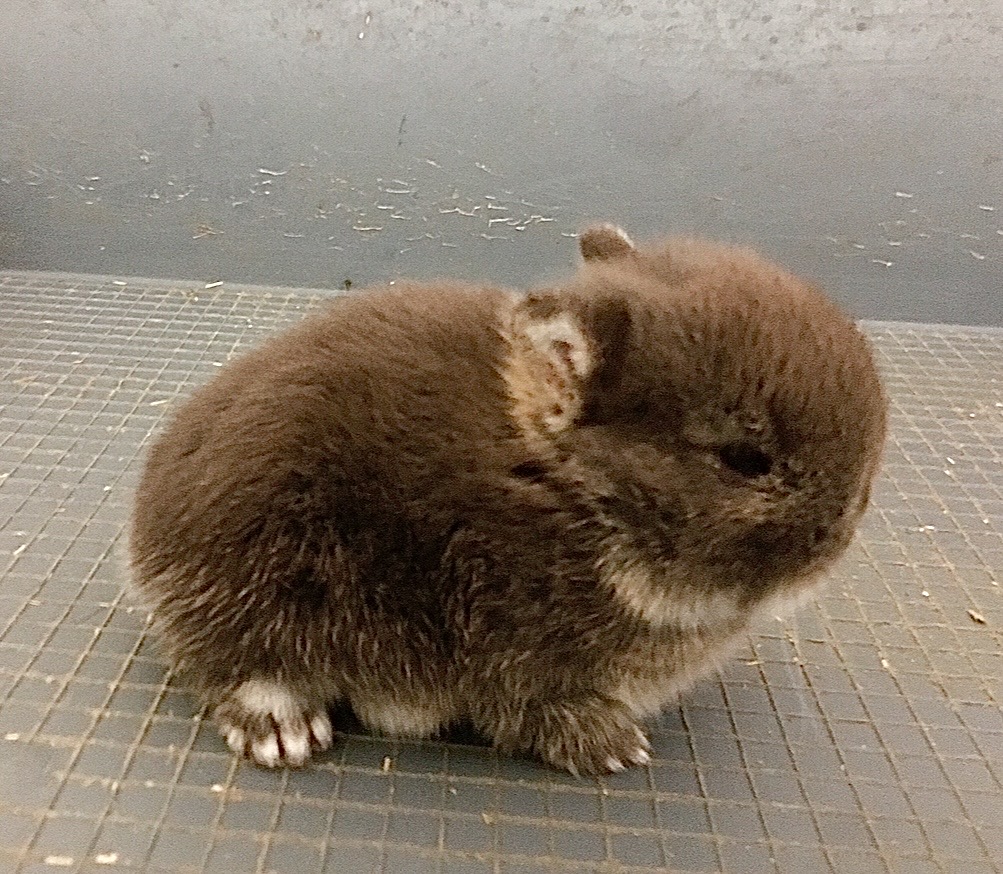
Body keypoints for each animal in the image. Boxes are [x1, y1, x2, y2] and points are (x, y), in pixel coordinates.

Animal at [131, 223, 886, 770]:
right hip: (265, 574)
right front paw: (614, 748)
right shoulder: (515, 648)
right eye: (744, 459)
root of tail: (146, 537)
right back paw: (280, 729)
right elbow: (530, 714)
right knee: (234, 663)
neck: (577, 495)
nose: (845, 528)